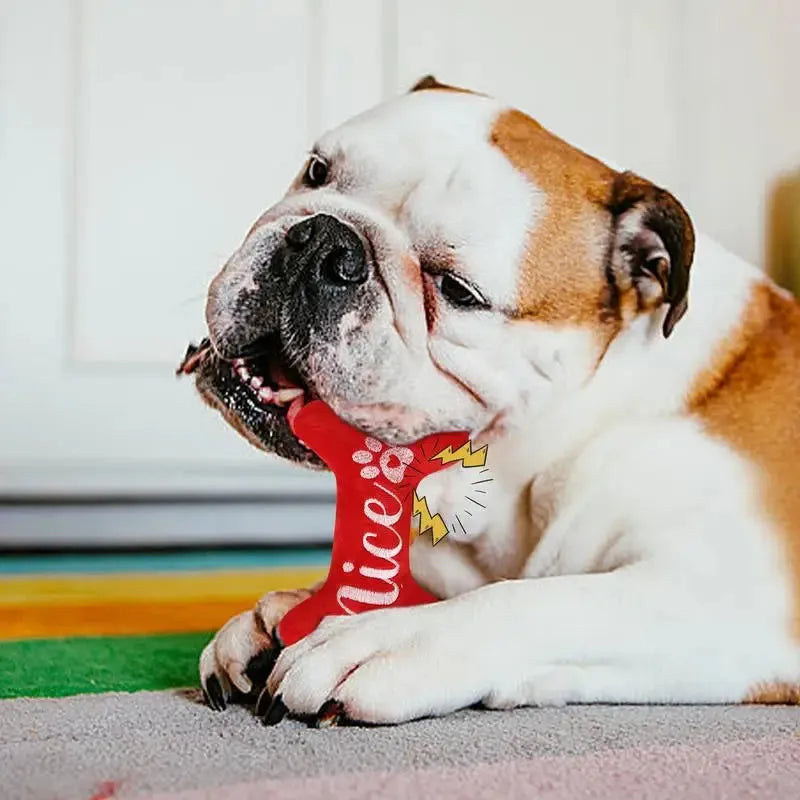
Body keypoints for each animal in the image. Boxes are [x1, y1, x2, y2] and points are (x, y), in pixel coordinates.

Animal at [180, 76, 800, 724]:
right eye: (317, 171)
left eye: (457, 290)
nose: (324, 241)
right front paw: (278, 615)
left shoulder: (737, 597)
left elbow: (537, 601)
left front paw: (383, 637)